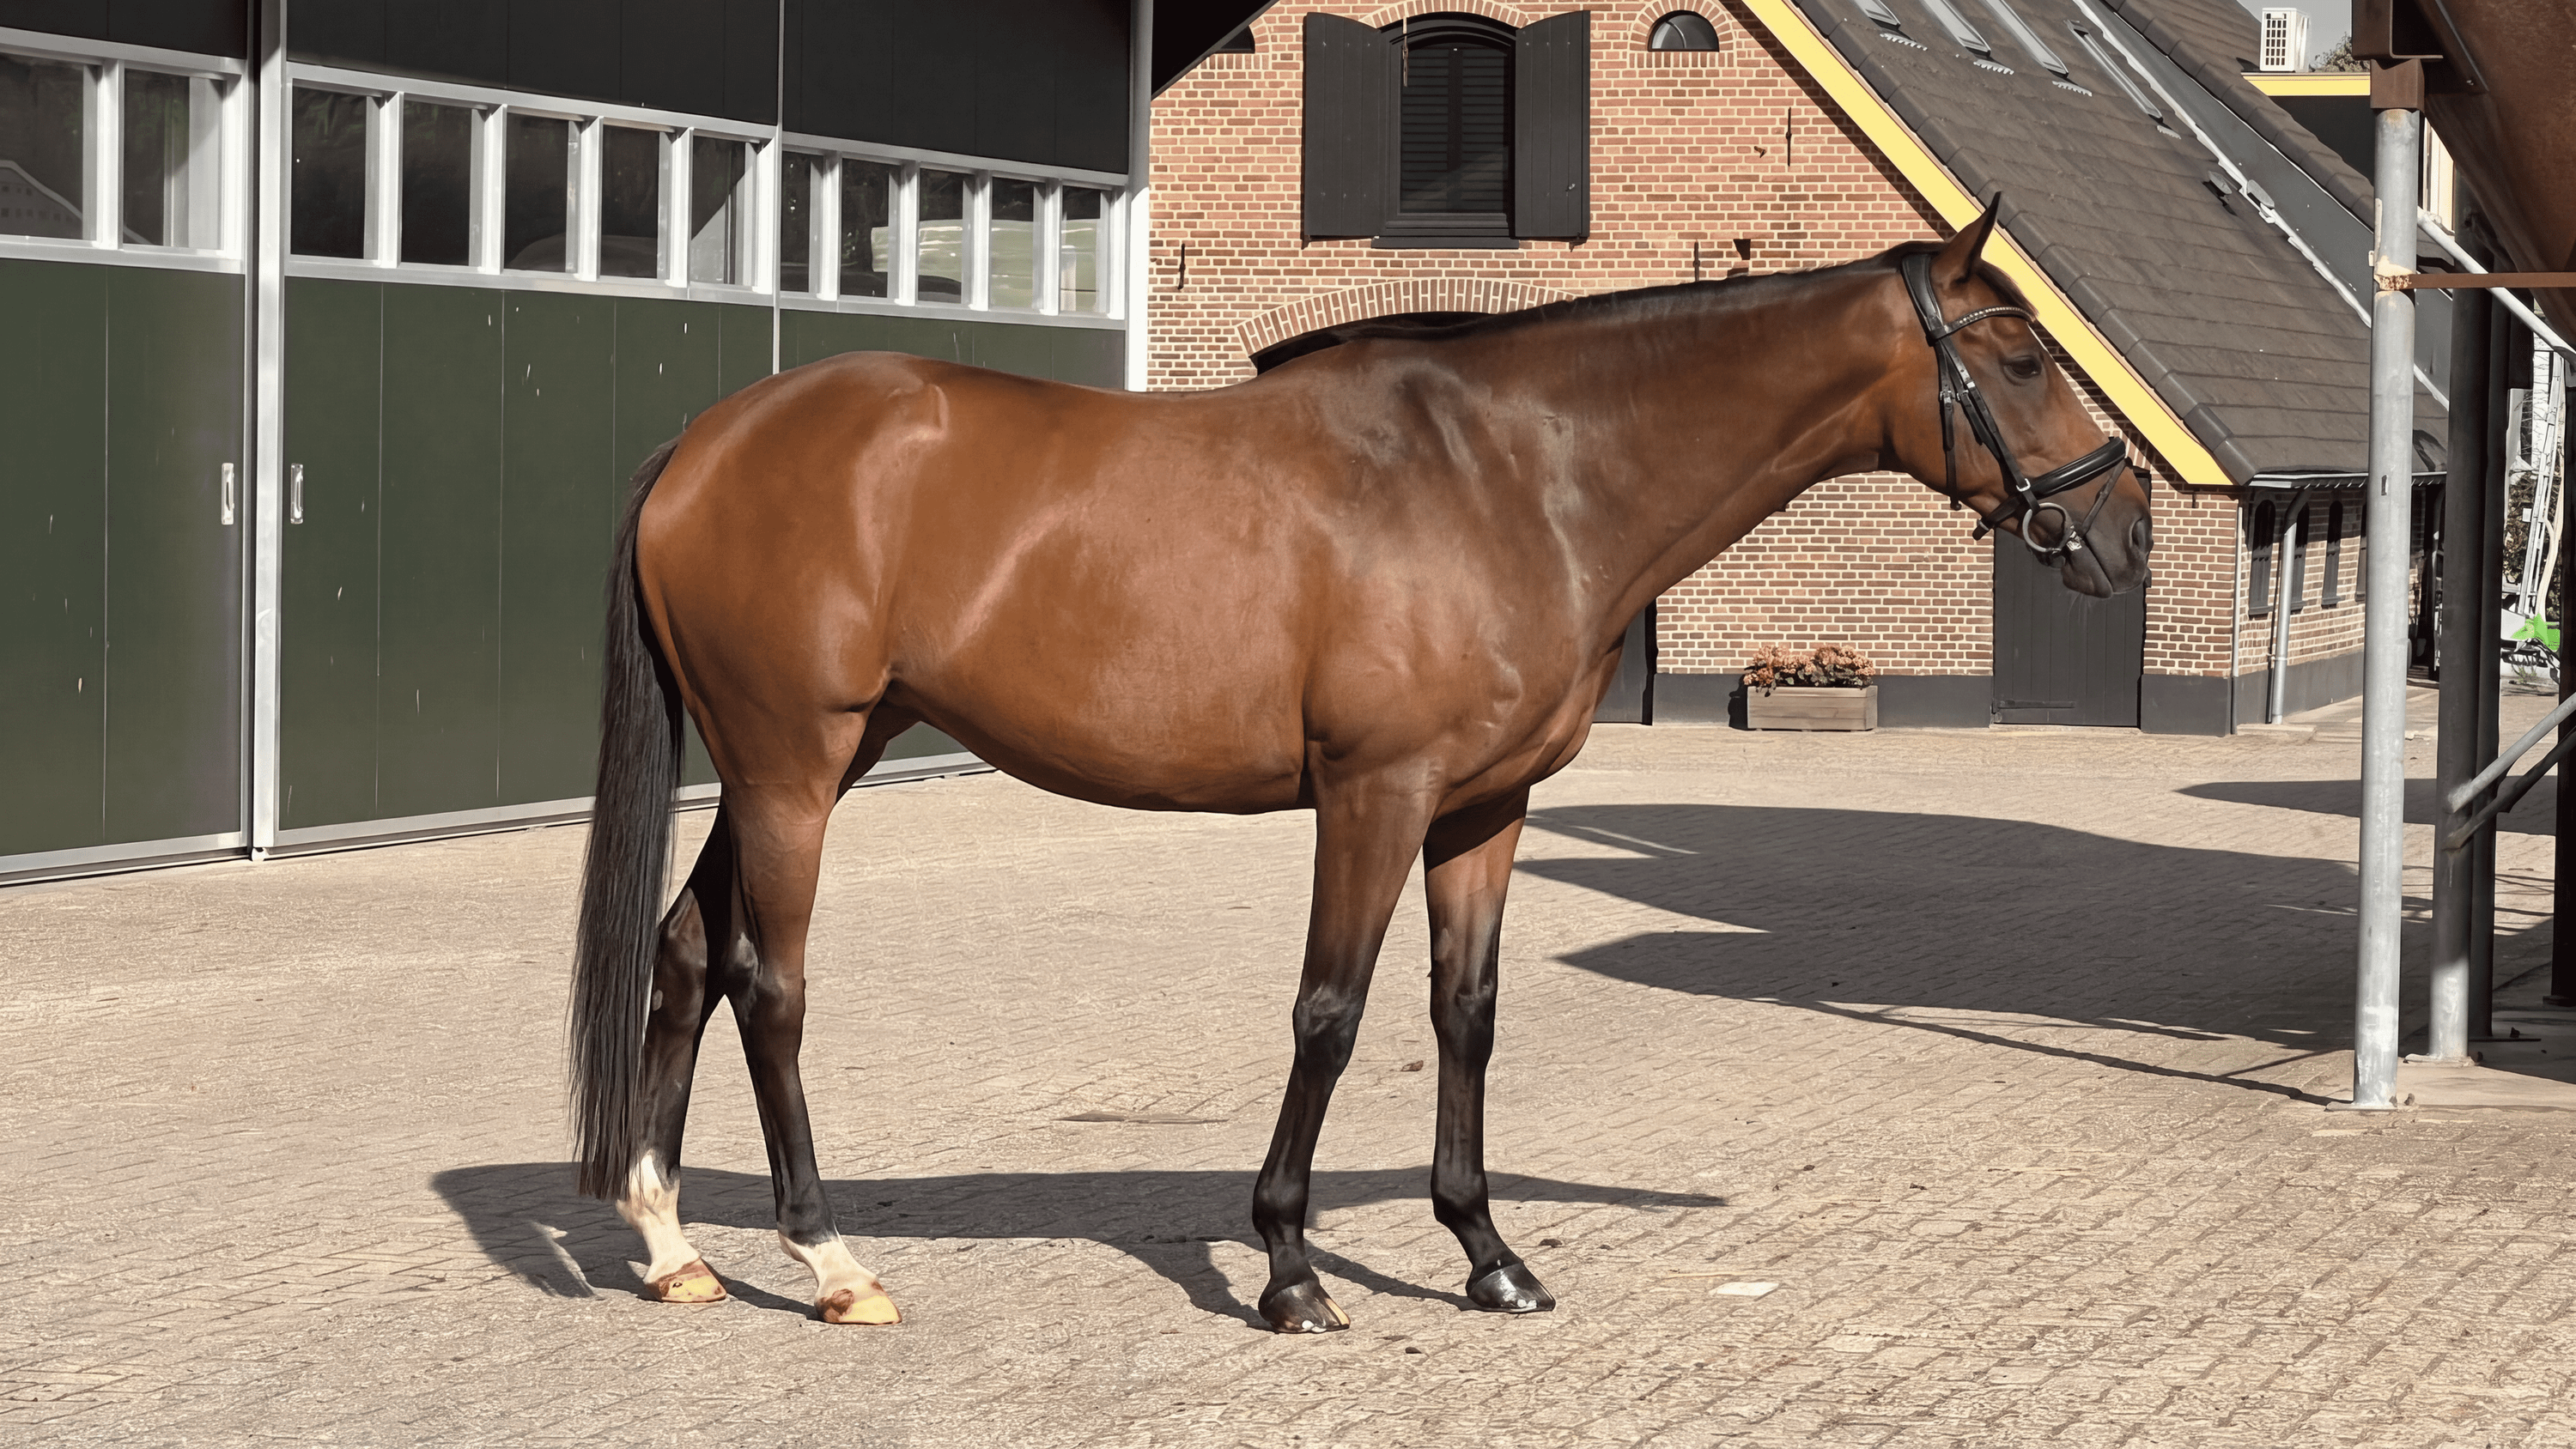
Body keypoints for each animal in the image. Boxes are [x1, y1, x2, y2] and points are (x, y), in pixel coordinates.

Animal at [567, 204, 2153, 1334]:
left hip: (803, 763)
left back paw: (669, 1243)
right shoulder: (1375, 794)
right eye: (2020, 354)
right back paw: (831, 1259)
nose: (2126, 527)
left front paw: (1488, 1252)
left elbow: (1466, 1013)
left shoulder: (1484, 807)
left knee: (686, 951)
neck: (1514, 474)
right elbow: (1330, 1014)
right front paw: (1288, 1266)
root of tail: (706, 443)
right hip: (793, 764)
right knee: (769, 983)